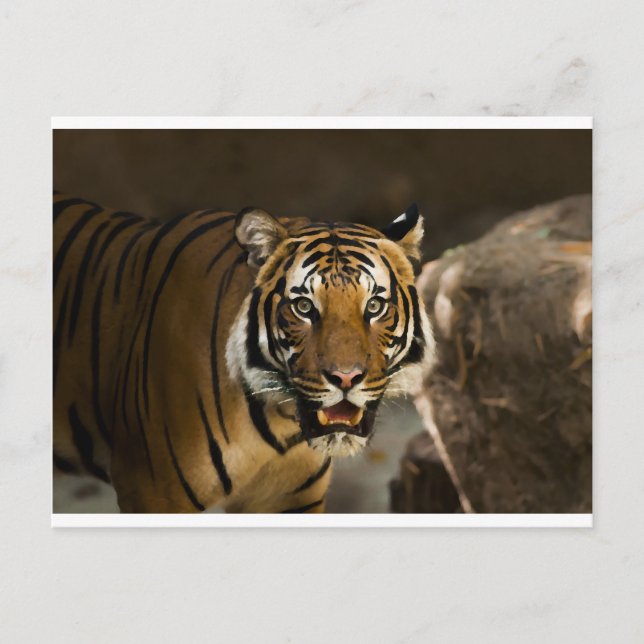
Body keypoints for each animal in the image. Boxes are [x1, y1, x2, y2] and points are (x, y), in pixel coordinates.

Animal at [53, 192, 435, 513]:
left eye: (374, 306)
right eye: (304, 307)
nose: (346, 378)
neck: (279, 422)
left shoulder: (292, 500)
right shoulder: (153, 492)